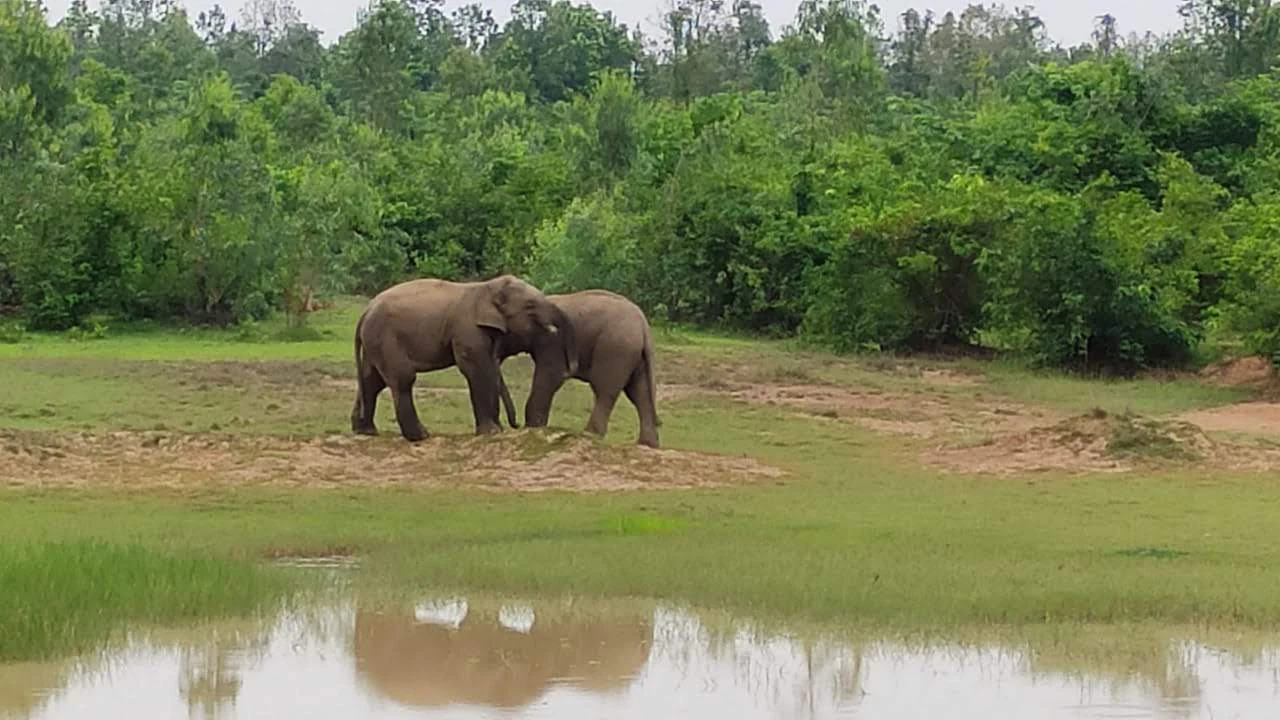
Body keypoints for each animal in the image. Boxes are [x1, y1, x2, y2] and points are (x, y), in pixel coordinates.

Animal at [350, 274, 576, 441]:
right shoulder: (468, 330)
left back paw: (366, 431)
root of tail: (365, 312)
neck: (487, 287)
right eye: (530, 306)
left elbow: (489, 368)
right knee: (402, 378)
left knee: (372, 381)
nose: (516, 424)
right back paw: (421, 436)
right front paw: (492, 432)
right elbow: (478, 370)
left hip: (374, 342)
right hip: (386, 338)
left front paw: (496, 431)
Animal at [496, 289, 659, 448]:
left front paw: (533, 429)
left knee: (604, 390)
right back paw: (647, 444)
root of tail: (643, 327)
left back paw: (589, 435)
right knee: (640, 393)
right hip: (635, 355)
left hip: (615, 348)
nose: (515, 424)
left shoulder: (552, 341)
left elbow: (552, 376)